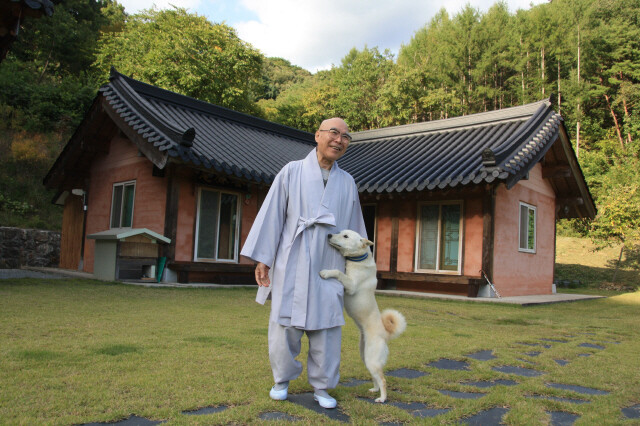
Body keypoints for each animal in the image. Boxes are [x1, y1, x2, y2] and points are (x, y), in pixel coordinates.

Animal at [318, 230, 404, 402]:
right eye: (339, 232)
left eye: (345, 236)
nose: (329, 234)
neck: (358, 259)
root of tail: (385, 333)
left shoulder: (350, 285)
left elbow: (338, 272)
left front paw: (326, 272)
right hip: (365, 356)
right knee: (375, 377)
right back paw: (374, 389)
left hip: (372, 358)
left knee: (383, 379)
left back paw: (382, 398)